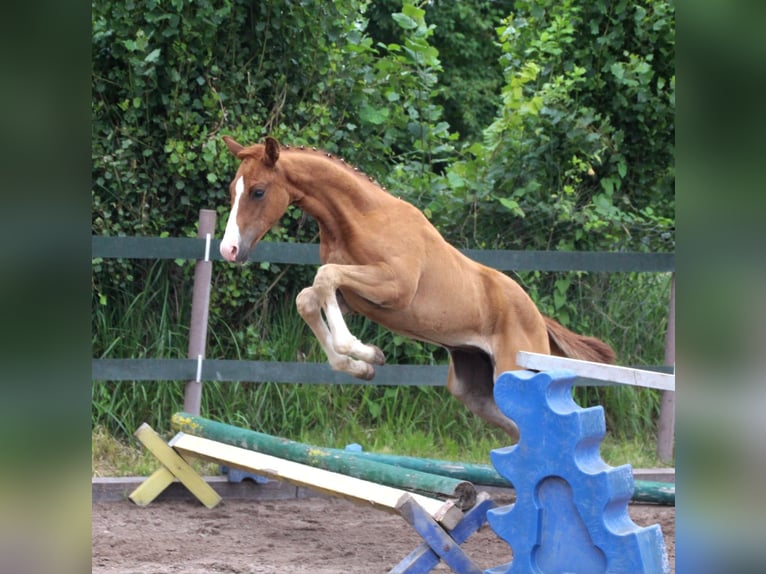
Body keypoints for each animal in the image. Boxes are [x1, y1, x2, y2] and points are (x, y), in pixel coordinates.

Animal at [218, 136, 615, 441]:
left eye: (258, 191)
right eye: (232, 191)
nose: (229, 250)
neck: (361, 218)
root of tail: (536, 317)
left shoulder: (394, 288)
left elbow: (326, 277)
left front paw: (368, 353)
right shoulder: (354, 298)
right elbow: (309, 296)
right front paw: (361, 366)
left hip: (513, 375)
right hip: (476, 391)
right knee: (521, 433)